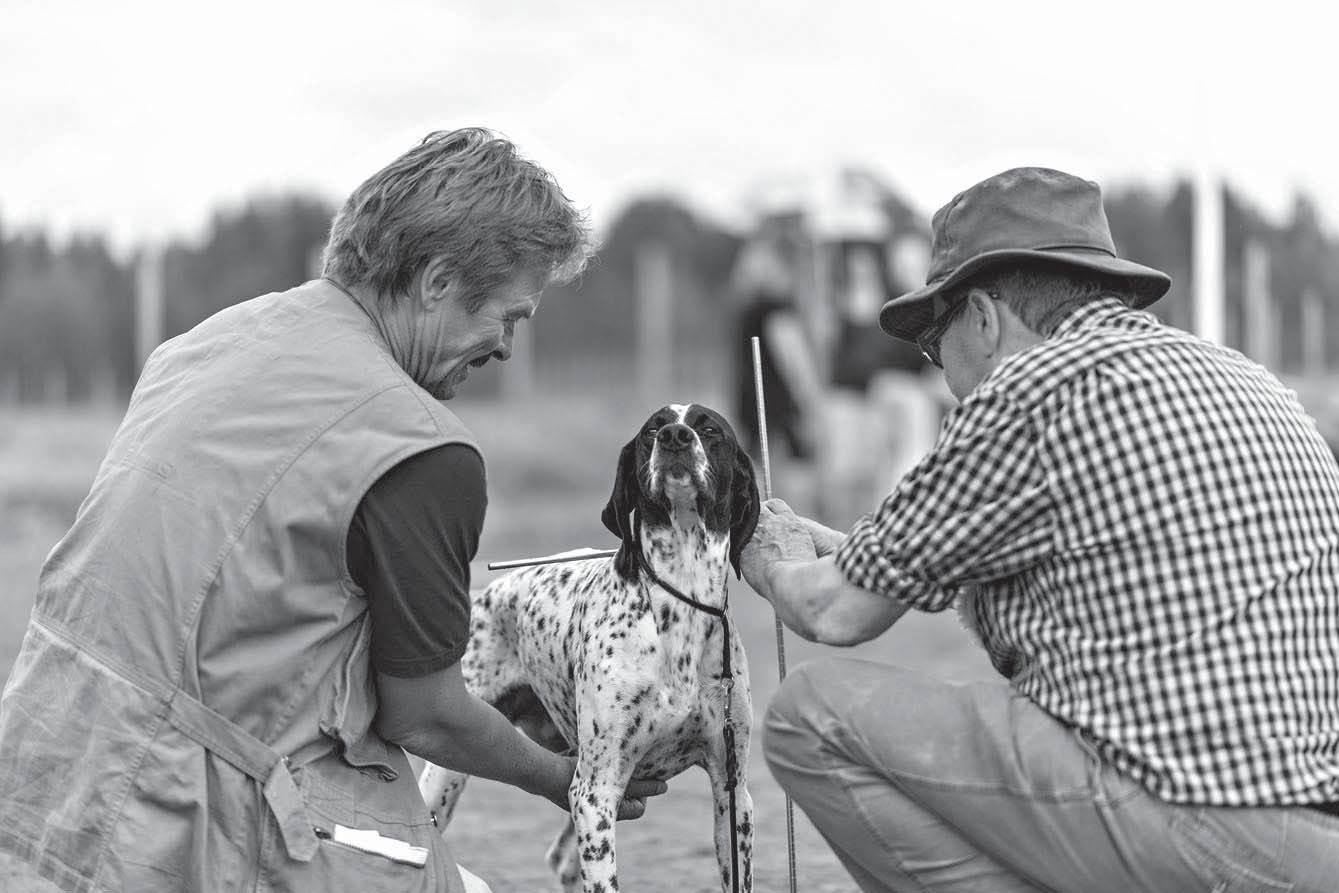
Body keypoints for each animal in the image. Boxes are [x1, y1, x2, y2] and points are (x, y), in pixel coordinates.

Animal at [420, 404, 755, 893]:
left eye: (710, 428)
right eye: (651, 430)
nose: (675, 437)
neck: (680, 601)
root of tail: (490, 590)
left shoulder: (732, 794)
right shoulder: (595, 794)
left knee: (561, 859)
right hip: (448, 771)